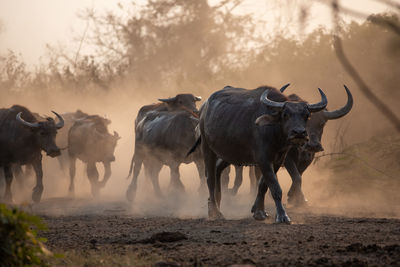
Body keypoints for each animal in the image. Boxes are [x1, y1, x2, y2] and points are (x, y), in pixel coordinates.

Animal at [198, 85, 326, 223]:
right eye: (285, 115)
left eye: (306, 115)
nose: (299, 133)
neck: (275, 134)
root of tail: (204, 107)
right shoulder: (263, 160)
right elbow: (275, 187)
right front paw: (282, 215)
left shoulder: (277, 161)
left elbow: (263, 185)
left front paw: (259, 211)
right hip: (207, 148)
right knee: (210, 178)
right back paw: (215, 212)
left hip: (229, 152)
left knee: (217, 169)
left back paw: (216, 202)